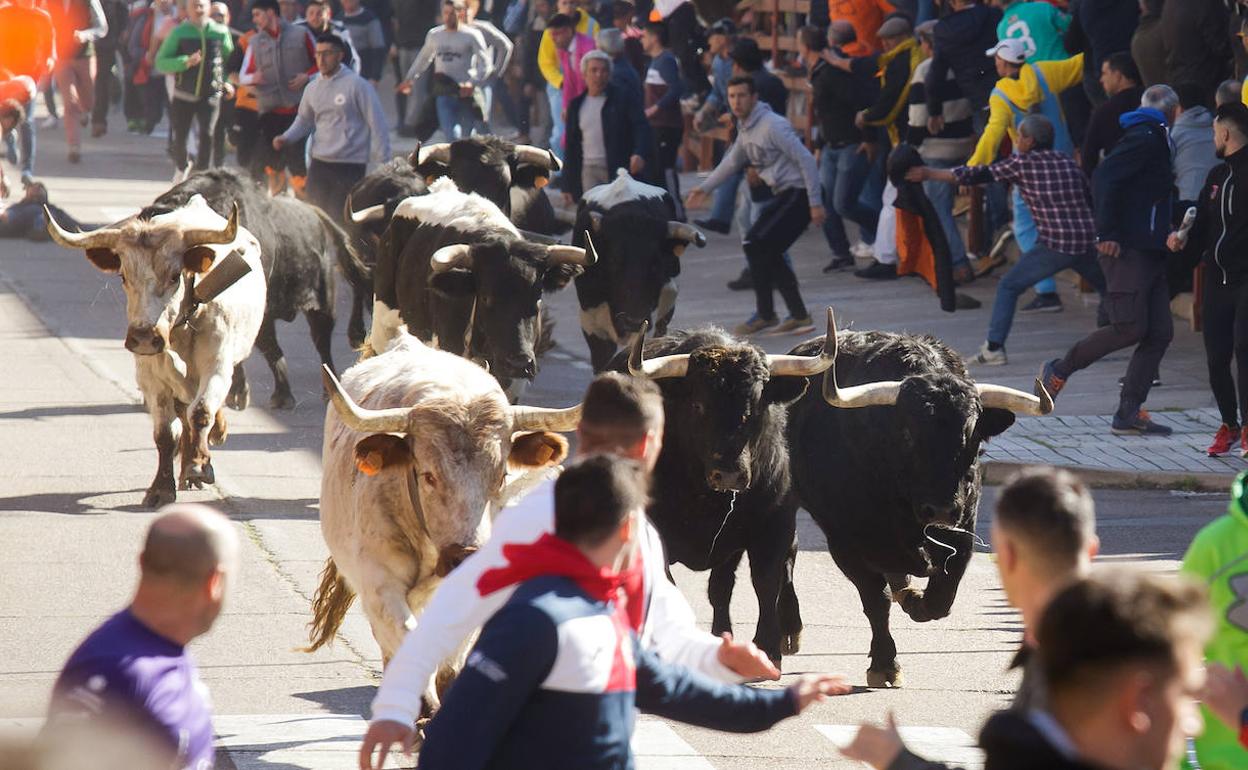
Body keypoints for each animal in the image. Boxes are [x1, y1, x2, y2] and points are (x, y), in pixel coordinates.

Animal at [45, 193, 265, 504]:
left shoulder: (217, 366)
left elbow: (201, 412)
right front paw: (162, 487)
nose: (144, 336)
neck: (181, 328)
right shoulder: (151, 377)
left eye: (174, 276)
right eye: (123, 277)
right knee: (183, 413)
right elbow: (165, 434)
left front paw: (200, 465)